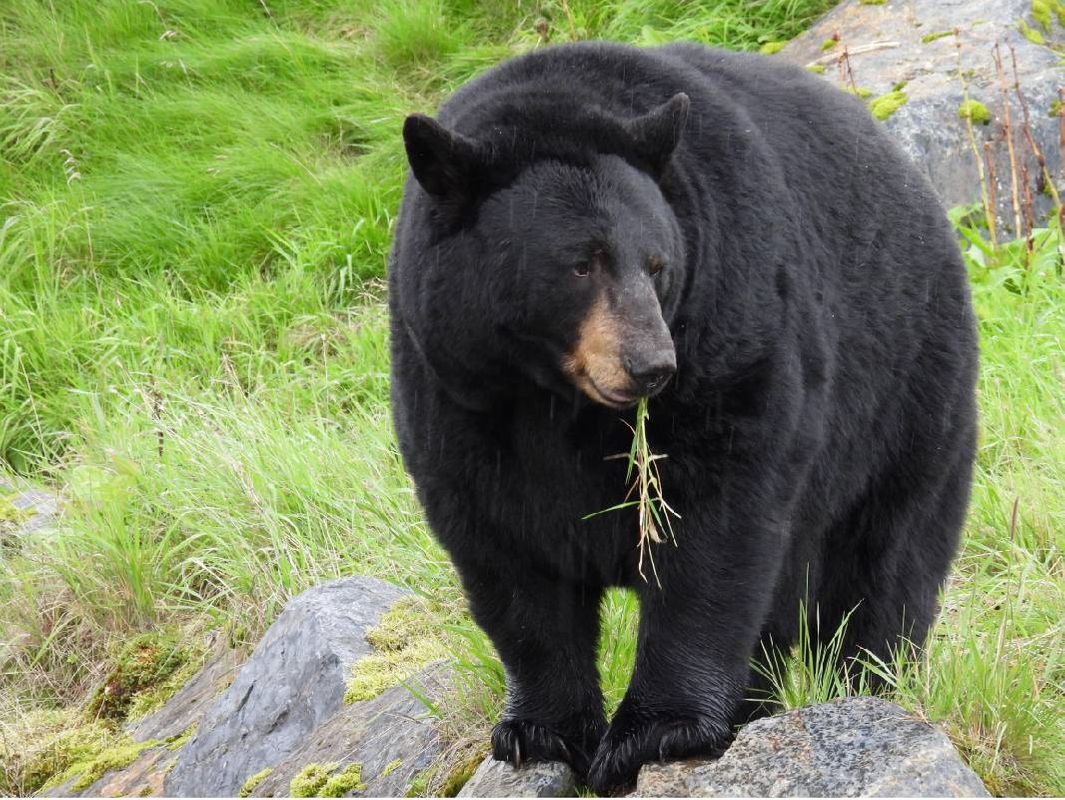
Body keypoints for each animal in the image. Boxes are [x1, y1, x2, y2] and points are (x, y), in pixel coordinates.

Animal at [387, 42, 975, 796]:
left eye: (657, 263)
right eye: (579, 265)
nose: (651, 365)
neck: (556, 398)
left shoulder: (732, 325)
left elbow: (711, 528)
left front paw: (657, 732)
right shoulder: (456, 389)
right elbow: (505, 557)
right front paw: (538, 731)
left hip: (904, 393)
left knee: (883, 565)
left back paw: (864, 683)